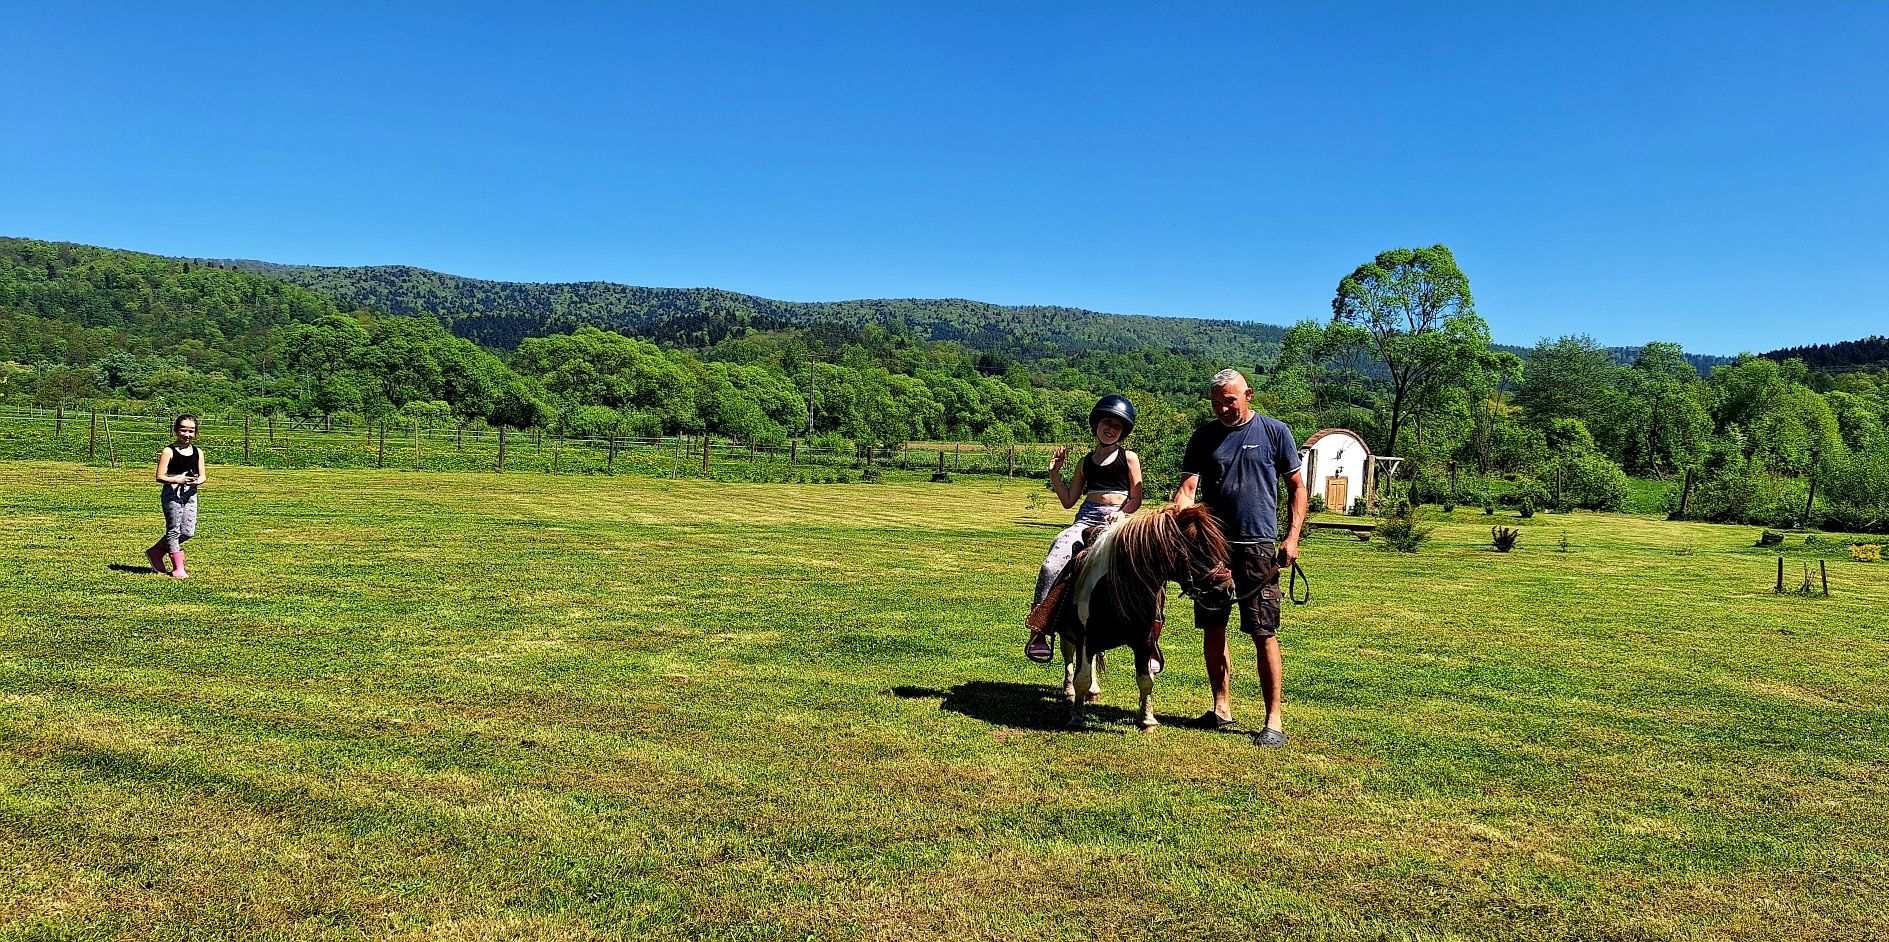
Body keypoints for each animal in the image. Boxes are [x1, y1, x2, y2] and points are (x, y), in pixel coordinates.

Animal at [1050, 509, 1239, 728]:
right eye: (1197, 548)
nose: (1228, 588)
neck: (1114, 590)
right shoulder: (1085, 638)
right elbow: (1082, 678)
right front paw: (1076, 717)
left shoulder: (1145, 642)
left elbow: (1146, 680)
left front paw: (1147, 719)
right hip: (1070, 635)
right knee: (1068, 655)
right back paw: (1069, 691)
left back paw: (1093, 691)